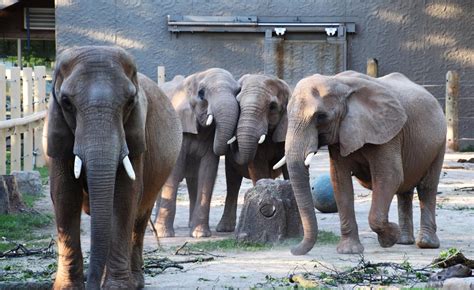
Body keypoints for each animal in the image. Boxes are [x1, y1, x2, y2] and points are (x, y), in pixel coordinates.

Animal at [43, 46, 182, 288]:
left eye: (130, 102)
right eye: (66, 102)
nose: (91, 285)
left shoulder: (136, 138)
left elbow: (125, 196)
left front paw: (117, 288)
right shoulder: (58, 135)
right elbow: (64, 197)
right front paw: (68, 288)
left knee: (139, 218)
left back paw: (136, 282)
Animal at [156, 68, 241, 238]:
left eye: (237, 92)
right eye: (202, 94)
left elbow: (208, 171)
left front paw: (200, 235)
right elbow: (175, 171)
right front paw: (164, 235)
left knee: (193, 180)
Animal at [217, 73, 290, 232]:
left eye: (272, 107)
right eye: (238, 104)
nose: (234, 144)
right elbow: (258, 167)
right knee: (232, 182)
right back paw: (224, 229)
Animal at [276, 71, 446, 255]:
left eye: (321, 116)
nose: (293, 250)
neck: (338, 82)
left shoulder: (387, 133)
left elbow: (390, 177)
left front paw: (389, 238)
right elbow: (339, 181)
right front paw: (349, 250)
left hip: (439, 142)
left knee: (426, 187)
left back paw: (426, 243)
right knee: (405, 189)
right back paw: (404, 241)